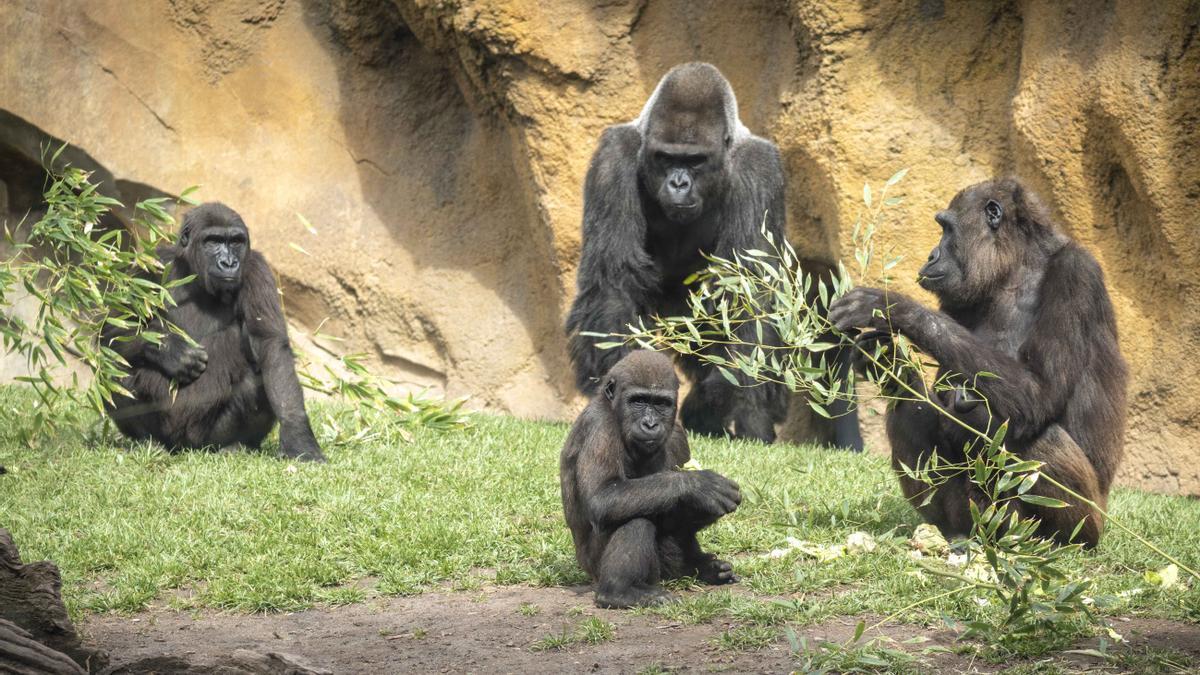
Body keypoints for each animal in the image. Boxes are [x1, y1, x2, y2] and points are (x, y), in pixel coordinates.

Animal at [103, 199, 326, 458]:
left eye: (236, 242)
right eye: (213, 241)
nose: (229, 263)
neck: (193, 274)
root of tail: (185, 448)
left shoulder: (257, 268)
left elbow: (271, 347)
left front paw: (298, 436)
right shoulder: (150, 267)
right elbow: (112, 332)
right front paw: (173, 351)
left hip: (204, 438)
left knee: (256, 379)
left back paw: (235, 445)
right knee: (115, 366)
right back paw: (149, 441)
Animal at [559, 348, 739, 607]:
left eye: (661, 403)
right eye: (639, 401)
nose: (651, 424)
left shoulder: (677, 433)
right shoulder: (599, 425)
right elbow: (601, 497)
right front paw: (699, 486)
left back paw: (696, 568)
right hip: (593, 568)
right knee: (634, 518)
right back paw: (618, 591)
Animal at [564, 59, 859, 446]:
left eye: (695, 161)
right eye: (665, 158)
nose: (678, 183)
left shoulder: (757, 168)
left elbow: (752, 293)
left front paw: (748, 412)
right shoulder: (614, 158)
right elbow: (614, 276)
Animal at [830, 178, 1128, 547]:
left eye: (946, 228)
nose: (931, 254)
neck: (1016, 268)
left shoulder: (1076, 274)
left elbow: (1038, 392)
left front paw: (893, 307)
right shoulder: (959, 299)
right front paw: (885, 358)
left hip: (1088, 521)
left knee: (1037, 439)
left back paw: (1051, 540)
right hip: (972, 516)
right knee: (908, 412)